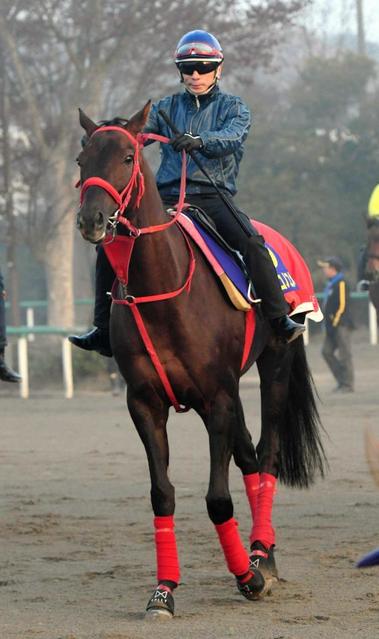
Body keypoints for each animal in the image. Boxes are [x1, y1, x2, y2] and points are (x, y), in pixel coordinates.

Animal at [75, 102, 326, 616]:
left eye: (128, 156)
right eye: (81, 159)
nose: (93, 220)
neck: (164, 289)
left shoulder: (218, 399)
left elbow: (217, 500)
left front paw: (248, 577)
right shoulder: (145, 403)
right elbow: (162, 495)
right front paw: (163, 590)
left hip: (274, 364)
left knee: (267, 455)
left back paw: (261, 555)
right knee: (249, 456)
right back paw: (263, 555)